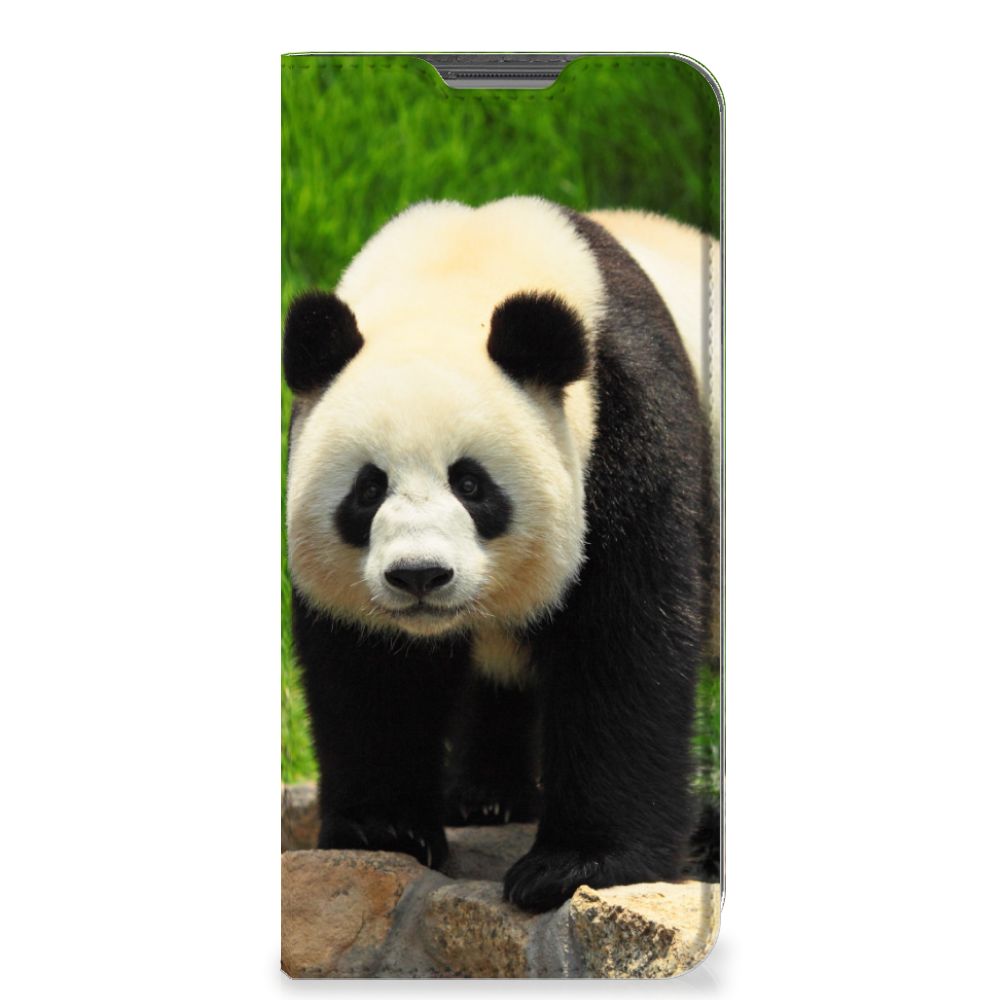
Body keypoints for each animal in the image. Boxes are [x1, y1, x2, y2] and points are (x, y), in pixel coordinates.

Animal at [283, 196, 719, 913]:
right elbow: (371, 669)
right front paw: (385, 829)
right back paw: (486, 797)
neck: (458, 270)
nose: (420, 576)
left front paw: (576, 865)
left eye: (471, 483)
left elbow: (623, 644)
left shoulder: (628, 427)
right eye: (368, 489)